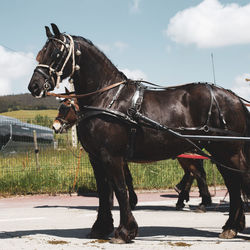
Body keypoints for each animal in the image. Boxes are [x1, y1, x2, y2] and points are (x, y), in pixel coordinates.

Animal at [28, 23, 249, 242]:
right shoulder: (96, 157)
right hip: (218, 152)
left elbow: (120, 189)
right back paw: (232, 225)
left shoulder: (112, 156)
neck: (107, 98)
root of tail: (234, 97)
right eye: (41, 54)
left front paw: (125, 231)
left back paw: (231, 224)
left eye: (56, 53)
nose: (34, 86)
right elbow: (103, 191)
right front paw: (101, 227)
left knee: (236, 181)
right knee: (232, 182)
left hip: (228, 150)